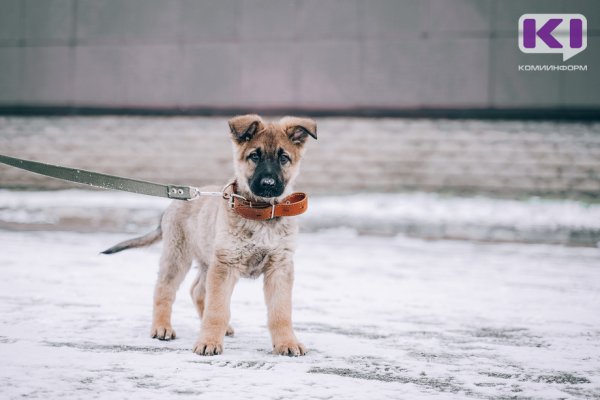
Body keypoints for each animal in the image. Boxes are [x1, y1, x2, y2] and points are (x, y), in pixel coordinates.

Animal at [102, 114, 318, 354]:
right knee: (164, 290)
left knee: (197, 290)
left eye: (283, 158)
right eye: (254, 156)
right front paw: (209, 342)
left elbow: (280, 312)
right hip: (178, 258)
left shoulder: (279, 267)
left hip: (207, 261)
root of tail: (175, 202)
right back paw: (161, 327)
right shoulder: (225, 265)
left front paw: (287, 343)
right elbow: (217, 309)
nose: (268, 184)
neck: (260, 213)